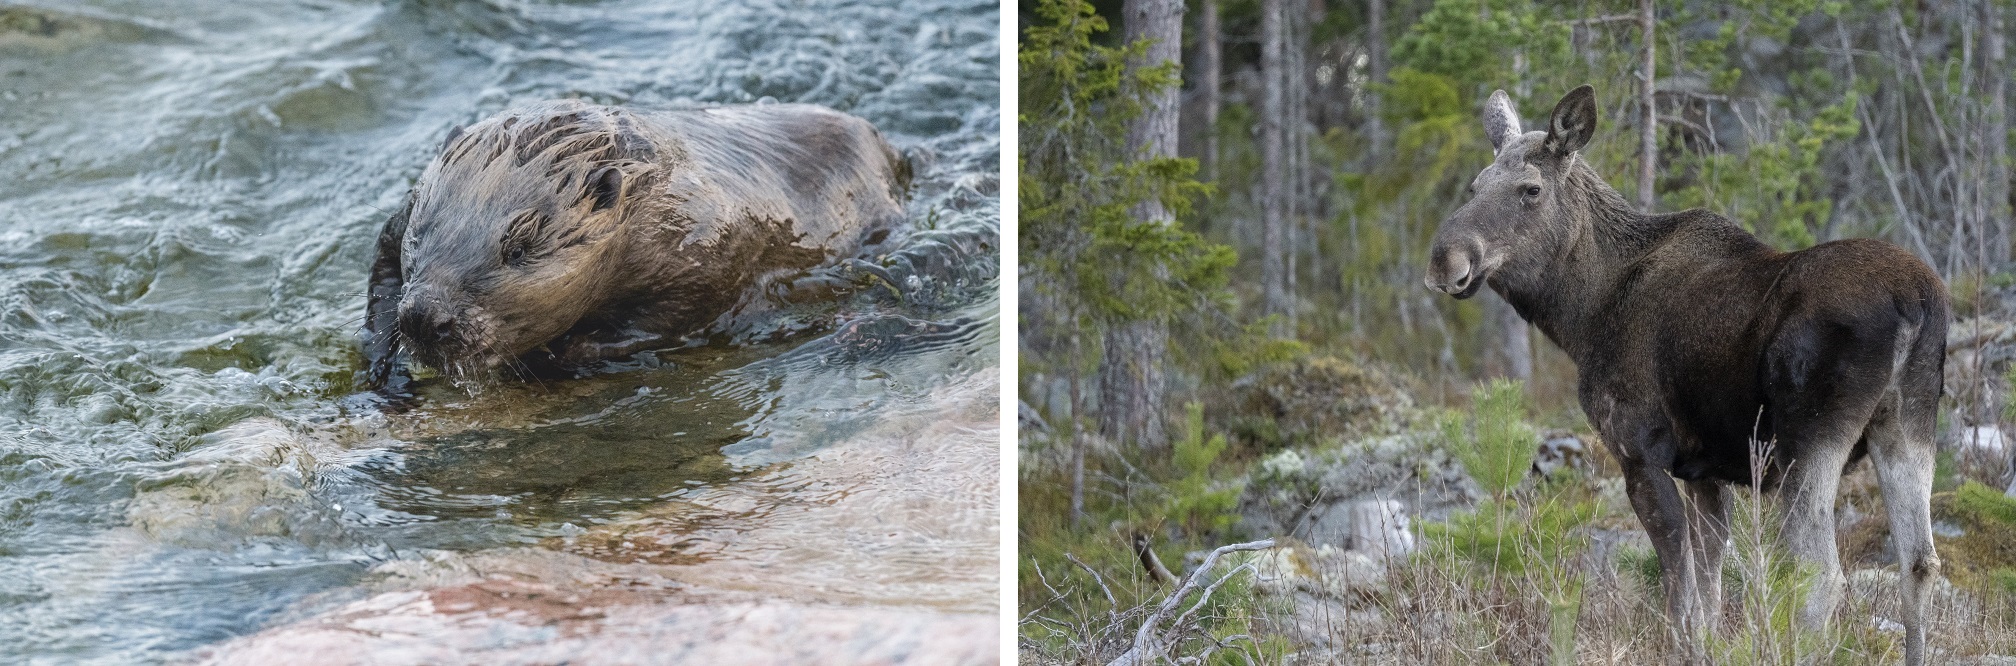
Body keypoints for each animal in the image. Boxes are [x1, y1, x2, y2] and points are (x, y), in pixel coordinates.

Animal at [358, 98, 911, 389]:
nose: (427, 317)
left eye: (519, 247)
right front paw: (382, 370)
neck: (647, 185)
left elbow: (681, 311)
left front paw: (567, 351)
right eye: (422, 232)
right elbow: (381, 272)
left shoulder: (705, 238)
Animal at [1427, 85, 1943, 661]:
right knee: (1919, 563)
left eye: (1531, 189)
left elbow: (1679, 588)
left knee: (1822, 577)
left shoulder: (1639, 452)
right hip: (1908, 424)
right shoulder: (1707, 471)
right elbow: (1711, 589)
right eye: (1476, 185)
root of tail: (1916, 304)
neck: (1582, 313)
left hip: (1808, 441)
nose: (1446, 259)